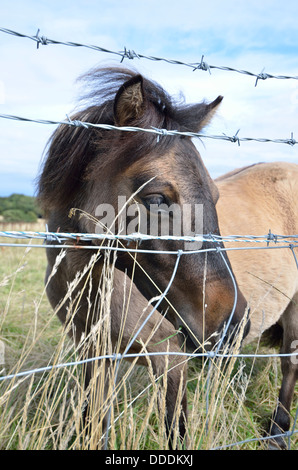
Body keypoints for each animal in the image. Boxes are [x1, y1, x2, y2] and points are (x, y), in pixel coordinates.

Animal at [36, 67, 249, 448]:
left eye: (214, 196)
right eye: (156, 199)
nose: (233, 324)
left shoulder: (171, 358)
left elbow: (175, 429)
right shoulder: (94, 354)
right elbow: (92, 422)